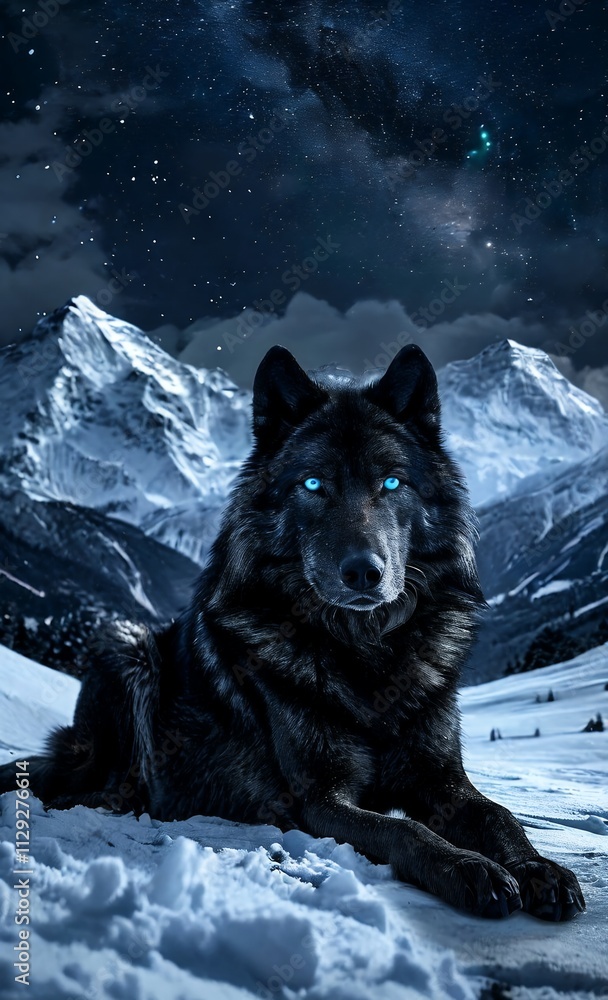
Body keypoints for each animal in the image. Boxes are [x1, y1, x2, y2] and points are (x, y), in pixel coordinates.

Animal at [0, 344, 585, 920]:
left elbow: (498, 816)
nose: (364, 572)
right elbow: (405, 831)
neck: (367, 651)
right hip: (125, 646)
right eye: (313, 485)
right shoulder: (319, 799)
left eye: (392, 482)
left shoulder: (443, 780)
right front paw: (470, 869)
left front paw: (539, 868)